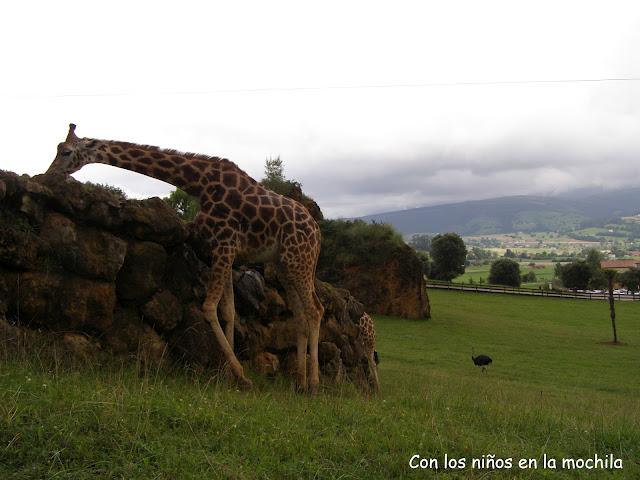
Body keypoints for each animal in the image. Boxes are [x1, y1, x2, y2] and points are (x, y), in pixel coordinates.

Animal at [45, 125, 324, 392]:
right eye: (57, 148)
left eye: (66, 152)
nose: (49, 175)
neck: (199, 184)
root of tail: (317, 233)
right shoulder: (224, 250)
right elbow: (229, 311)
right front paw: (229, 376)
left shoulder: (224, 245)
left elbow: (209, 307)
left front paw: (241, 376)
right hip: (285, 264)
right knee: (301, 315)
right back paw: (299, 381)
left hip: (299, 260)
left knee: (315, 310)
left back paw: (313, 384)